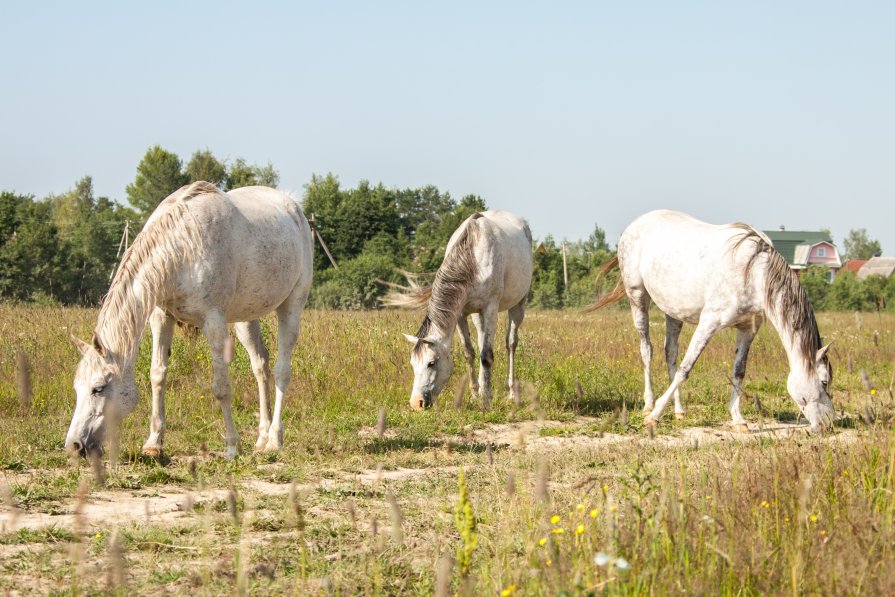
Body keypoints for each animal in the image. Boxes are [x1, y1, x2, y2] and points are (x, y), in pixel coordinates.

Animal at [65, 182, 316, 456]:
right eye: (76, 387)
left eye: (98, 388)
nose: (73, 445)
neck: (182, 247)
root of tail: (294, 207)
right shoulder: (161, 317)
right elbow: (157, 375)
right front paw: (154, 443)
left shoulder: (213, 322)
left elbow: (221, 388)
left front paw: (232, 446)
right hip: (246, 318)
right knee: (260, 366)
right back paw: (262, 437)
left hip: (292, 305)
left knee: (282, 371)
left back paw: (274, 440)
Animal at [384, 210, 532, 410]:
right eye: (413, 364)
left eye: (431, 363)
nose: (416, 403)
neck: (473, 258)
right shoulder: (461, 314)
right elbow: (469, 353)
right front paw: (476, 394)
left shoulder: (490, 308)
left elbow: (487, 356)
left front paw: (486, 399)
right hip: (477, 315)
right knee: (481, 341)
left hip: (518, 305)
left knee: (511, 343)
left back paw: (510, 393)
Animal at [592, 211, 836, 434]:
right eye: (824, 382)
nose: (828, 424)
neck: (753, 273)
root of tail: (635, 224)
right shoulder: (708, 322)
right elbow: (686, 368)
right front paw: (655, 416)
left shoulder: (747, 329)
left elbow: (739, 371)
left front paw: (738, 419)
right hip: (637, 296)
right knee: (647, 351)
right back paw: (649, 405)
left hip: (673, 311)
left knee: (670, 353)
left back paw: (679, 410)